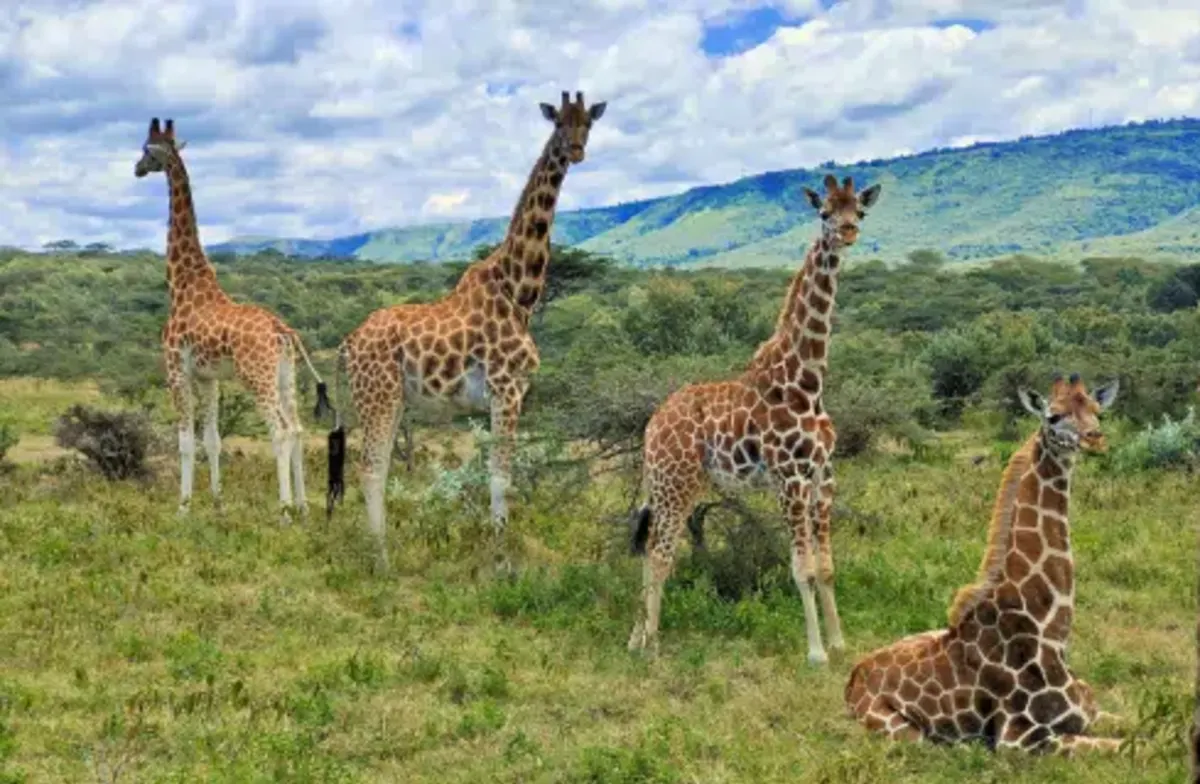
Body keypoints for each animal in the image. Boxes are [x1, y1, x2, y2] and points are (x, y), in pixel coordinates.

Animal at [134, 118, 332, 521]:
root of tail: (283, 330)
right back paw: (304, 507)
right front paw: (217, 503)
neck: (183, 285)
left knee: (280, 430)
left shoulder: (176, 370)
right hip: (285, 374)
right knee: (298, 428)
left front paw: (183, 507)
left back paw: (284, 510)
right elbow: (211, 439)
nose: (137, 169)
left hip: (256, 375)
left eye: (147, 149)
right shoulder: (209, 378)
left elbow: (184, 441)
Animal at [327, 92, 607, 571]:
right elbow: (501, 474)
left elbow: (497, 472)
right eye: (558, 124)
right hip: (378, 396)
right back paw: (382, 560)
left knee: (378, 466)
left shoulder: (510, 393)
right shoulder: (506, 388)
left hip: (392, 399)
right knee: (370, 467)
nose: (575, 151)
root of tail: (348, 343)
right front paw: (501, 556)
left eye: (588, 122)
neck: (520, 292)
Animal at [627, 174, 882, 663]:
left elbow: (826, 567)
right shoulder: (790, 478)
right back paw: (652, 645)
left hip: (676, 482)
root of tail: (652, 424)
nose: (848, 233)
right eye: (824, 212)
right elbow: (801, 568)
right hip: (674, 481)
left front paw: (839, 642)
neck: (807, 382)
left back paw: (636, 639)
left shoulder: (824, 477)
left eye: (858, 211)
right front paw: (815, 653)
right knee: (660, 552)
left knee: (651, 549)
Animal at [844, 374, 1125, 755]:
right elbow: (1136, 746)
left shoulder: (1091, 710)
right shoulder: (1019, 738)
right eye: (1053, 417)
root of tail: (852, 676)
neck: (1051, 633)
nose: (1095, 439)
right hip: (903, 732)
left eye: (1098, 412)